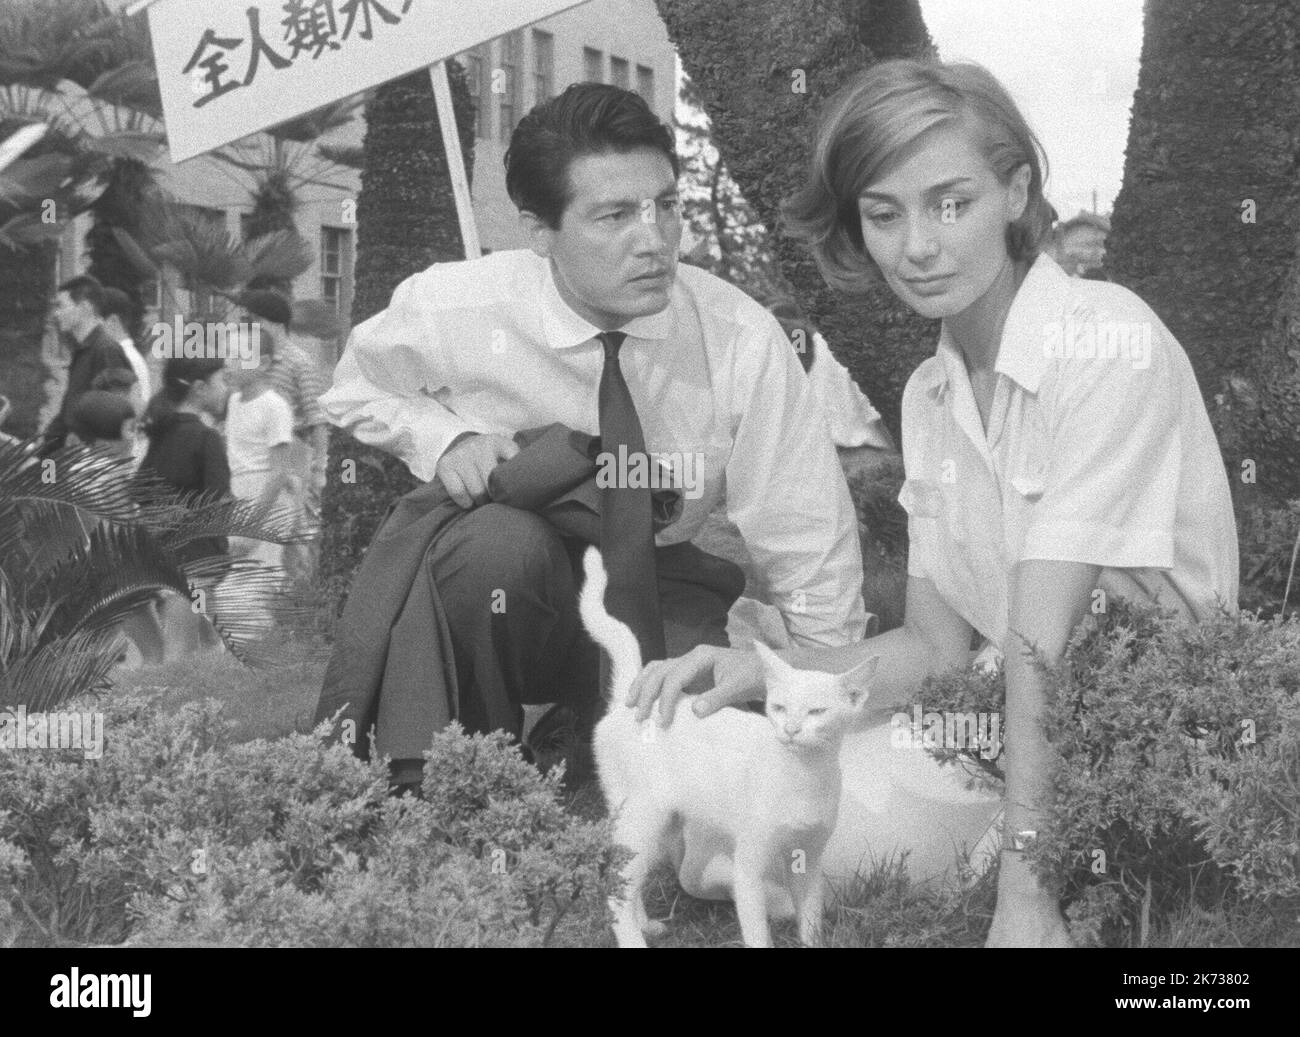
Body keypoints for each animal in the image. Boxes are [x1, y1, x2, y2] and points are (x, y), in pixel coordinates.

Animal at [582, 550, 878, 951]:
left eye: (817, 712)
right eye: (778, 707)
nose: (790, 730)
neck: (804, 774)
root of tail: (628, 701)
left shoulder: (808, 860)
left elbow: (810, 918)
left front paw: (812, 939)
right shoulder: (747, 866)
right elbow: (757, 932)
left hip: (657, 827)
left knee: (626, 881)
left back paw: (646, 926)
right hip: (645, 818)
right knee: (616, 890)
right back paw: (633, 938)